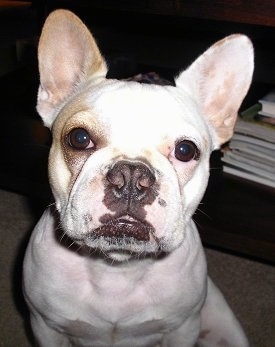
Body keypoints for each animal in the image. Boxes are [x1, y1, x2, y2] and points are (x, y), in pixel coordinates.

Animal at [22, 9, 256, 346]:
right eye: (79, 138)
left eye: (186, 150)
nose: (131, 176)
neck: (117, 266)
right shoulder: (46, 328)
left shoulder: (183, 329)